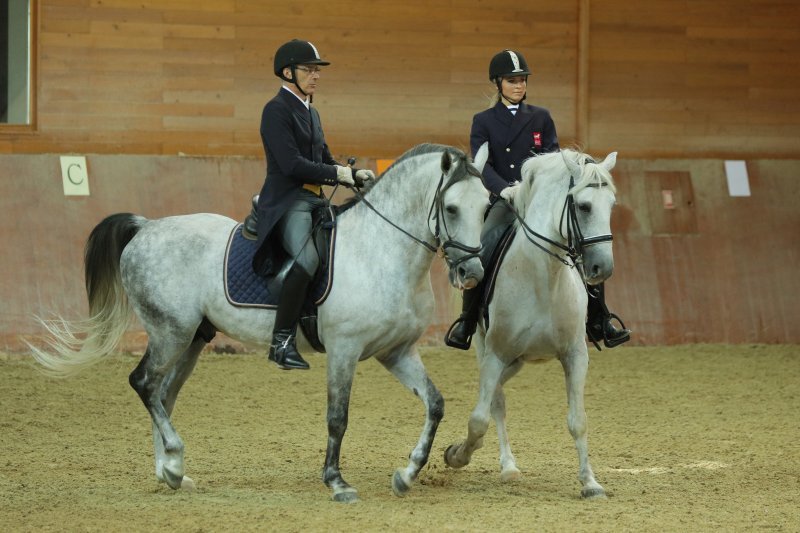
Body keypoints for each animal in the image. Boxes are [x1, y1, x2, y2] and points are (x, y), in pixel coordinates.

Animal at [29, 143, 488, 500]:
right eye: (450, 208)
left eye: (486, 207)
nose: (473, 273)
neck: (382, 250)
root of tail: (146, 227)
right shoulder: (344, 350)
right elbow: (337, 417)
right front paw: (336, 482)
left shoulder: (396, 352)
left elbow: (435, 404)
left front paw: (407, 473)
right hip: (169, 331)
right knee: (144, 384)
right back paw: (174, 458)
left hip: (191, 338)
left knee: (163, 393)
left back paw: (171, 472)